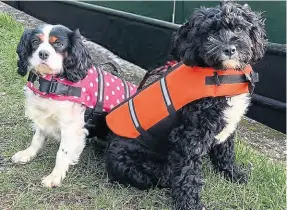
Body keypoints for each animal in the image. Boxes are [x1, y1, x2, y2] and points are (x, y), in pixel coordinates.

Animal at [105, 1, 268, 210]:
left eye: (239, 28)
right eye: (209, 33)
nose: (230, 49)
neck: (222, 75)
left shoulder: (228, 127)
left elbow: (226, 153)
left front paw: (234, 174)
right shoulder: (190, 135)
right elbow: (188, 172)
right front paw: (190, 203)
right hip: (132, 163)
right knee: (157, 175)